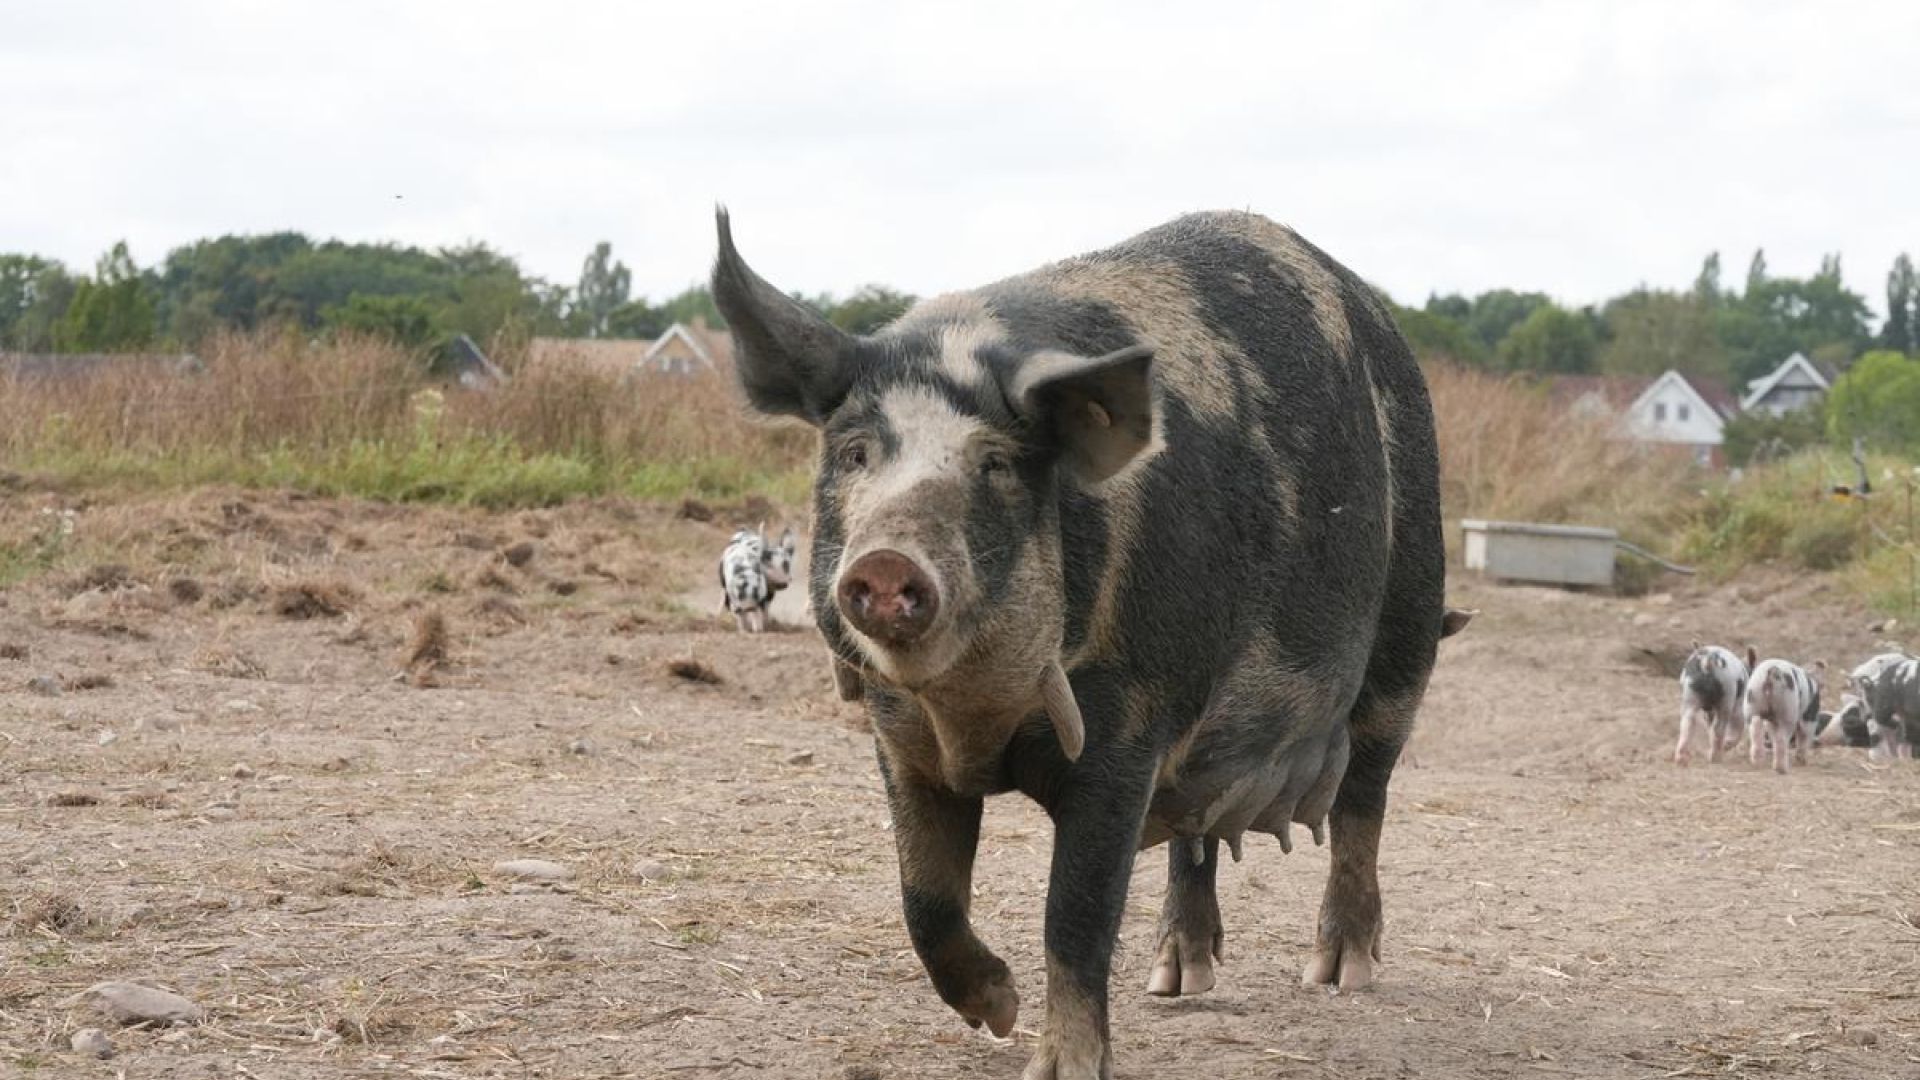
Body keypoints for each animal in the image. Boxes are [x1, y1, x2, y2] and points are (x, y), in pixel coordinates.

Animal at [714, 203, 1459, 1076]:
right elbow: (923, 899)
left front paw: (1056, 1064)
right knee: (1198, 828)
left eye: (997, 464)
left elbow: (1074, 914)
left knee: (1363, 801)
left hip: (1408, 632)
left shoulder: (1128, 729)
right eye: (856, 452)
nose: (888, 562)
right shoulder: (897, 737)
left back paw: (1339, 973)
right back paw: (1174, 982)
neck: (971, 720)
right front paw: (997, 1013)